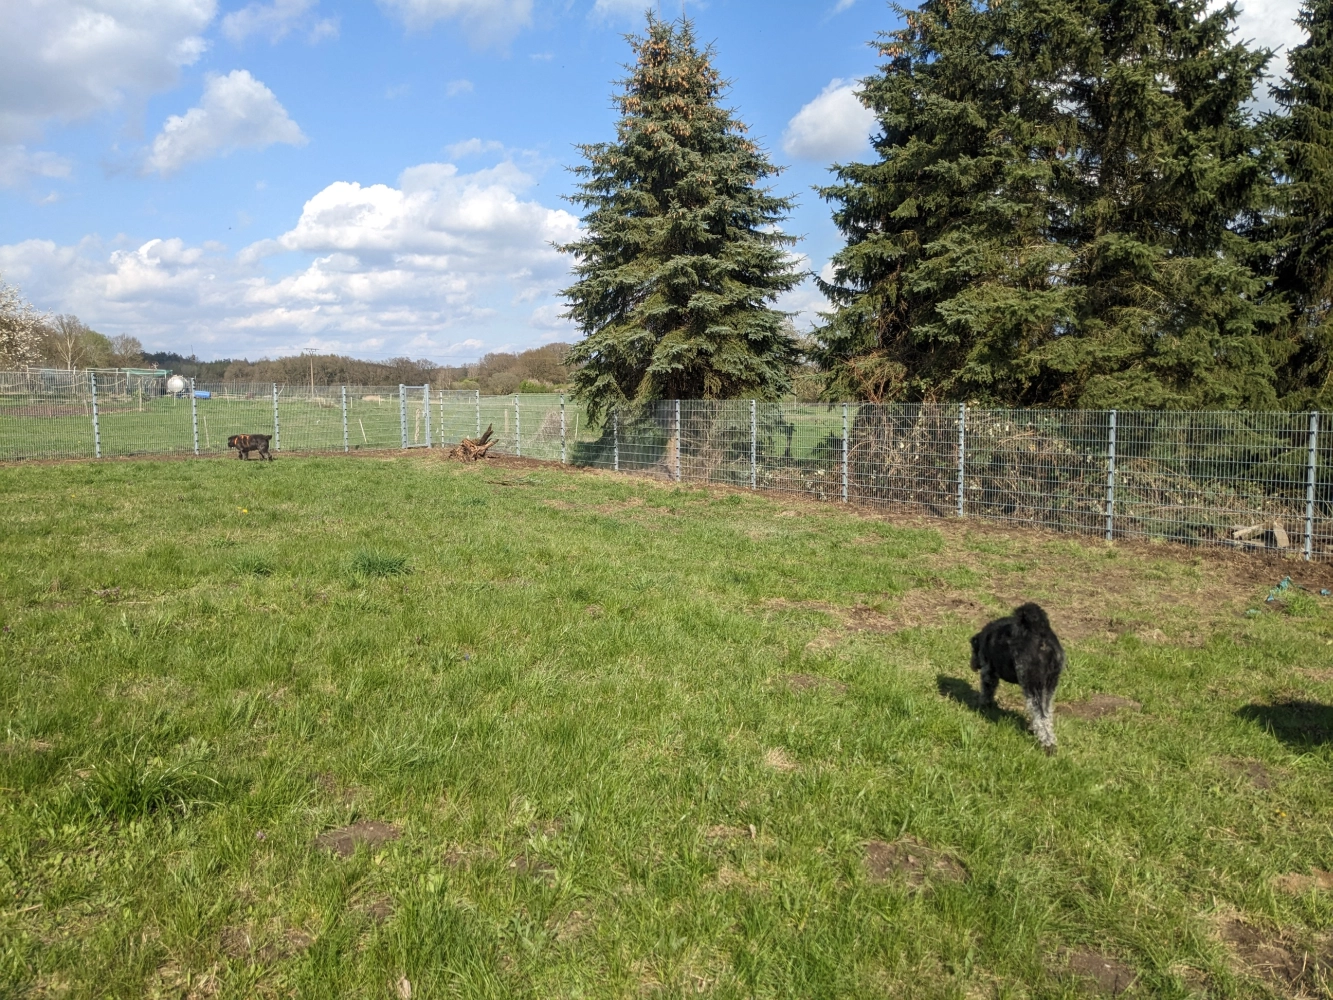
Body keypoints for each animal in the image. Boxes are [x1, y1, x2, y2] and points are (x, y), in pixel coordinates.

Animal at [970, 602, 1061, 752]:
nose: (972, 665)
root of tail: (1040, 633)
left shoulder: (988, 672)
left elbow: (987, 691)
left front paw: (983, 705)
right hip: (1048, 688)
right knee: (1046, 717)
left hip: (1032, 687)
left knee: (1040, 717)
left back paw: (1046, 744)